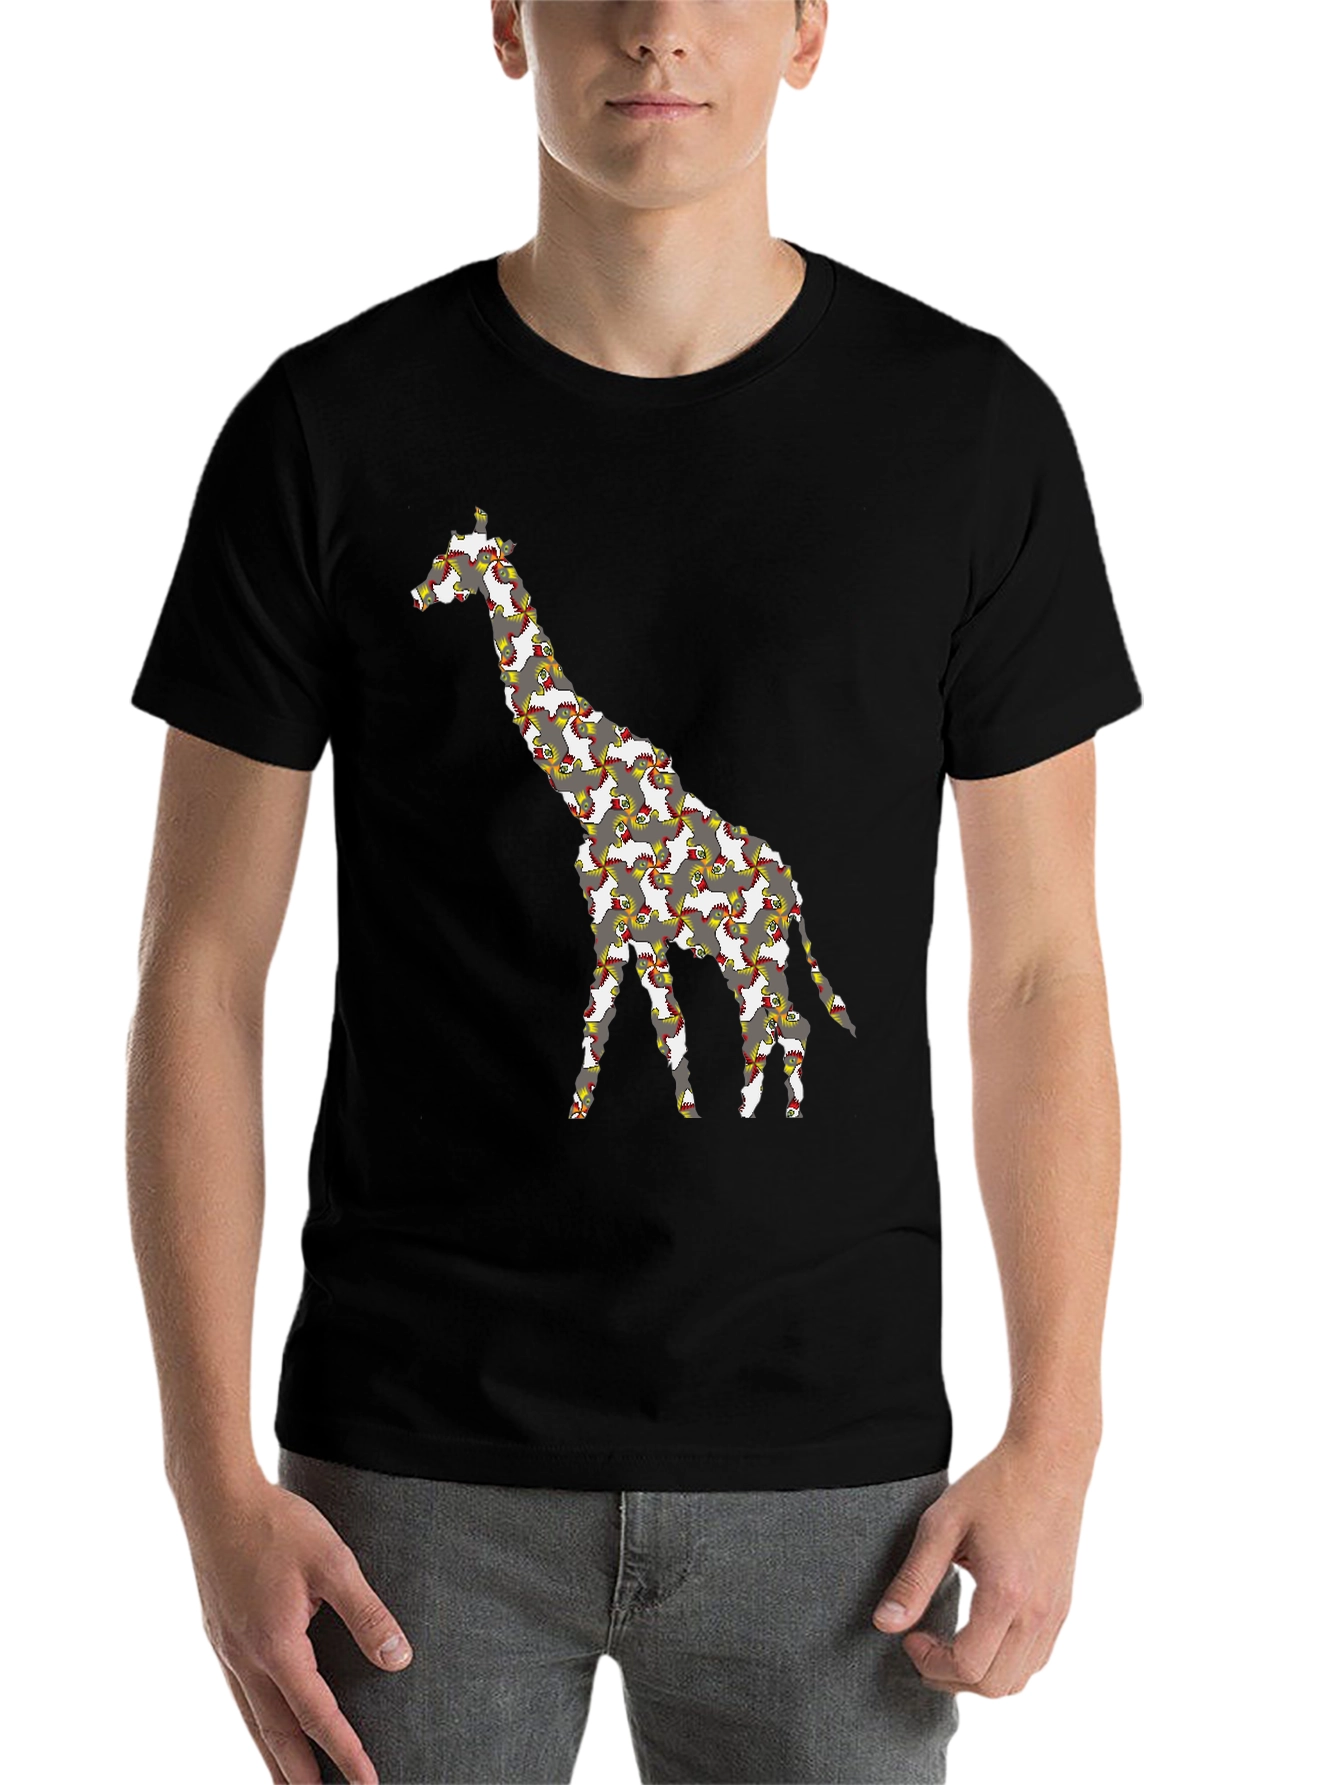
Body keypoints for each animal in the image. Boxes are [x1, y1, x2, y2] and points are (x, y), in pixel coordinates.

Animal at [410, 507, 855, 1120]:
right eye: (442, 551)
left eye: (455, 560)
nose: (417, 594)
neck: (585, 796)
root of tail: (794, 892)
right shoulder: (630, 932)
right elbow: (638, 1024)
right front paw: (645, 1112)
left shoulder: (621, 925)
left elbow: (629, 1023)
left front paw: (612, 1113)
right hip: (751, 958)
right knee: (773, 1026)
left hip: (755, 954)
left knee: (779, 1028)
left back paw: (767, 1116)